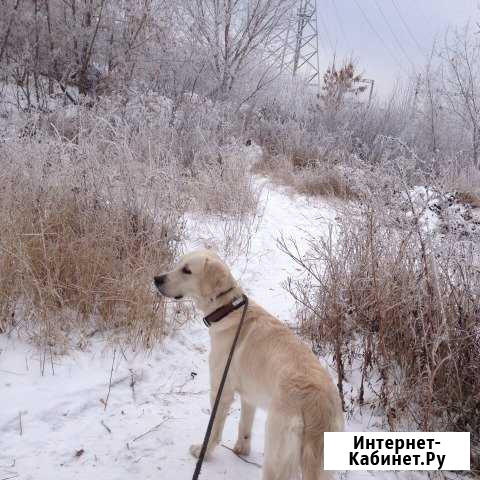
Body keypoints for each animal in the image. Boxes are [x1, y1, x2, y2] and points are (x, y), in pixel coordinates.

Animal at [156, 249, 344, 478]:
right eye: (179, 264)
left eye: (187, 270)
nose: (156, 279)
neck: (227, 309)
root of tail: (317, 405)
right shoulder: (249, 396)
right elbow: (244, 427)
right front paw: (241, 450)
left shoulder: (221, 391)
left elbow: (214, 431)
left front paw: (203, 452)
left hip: (276, 451)